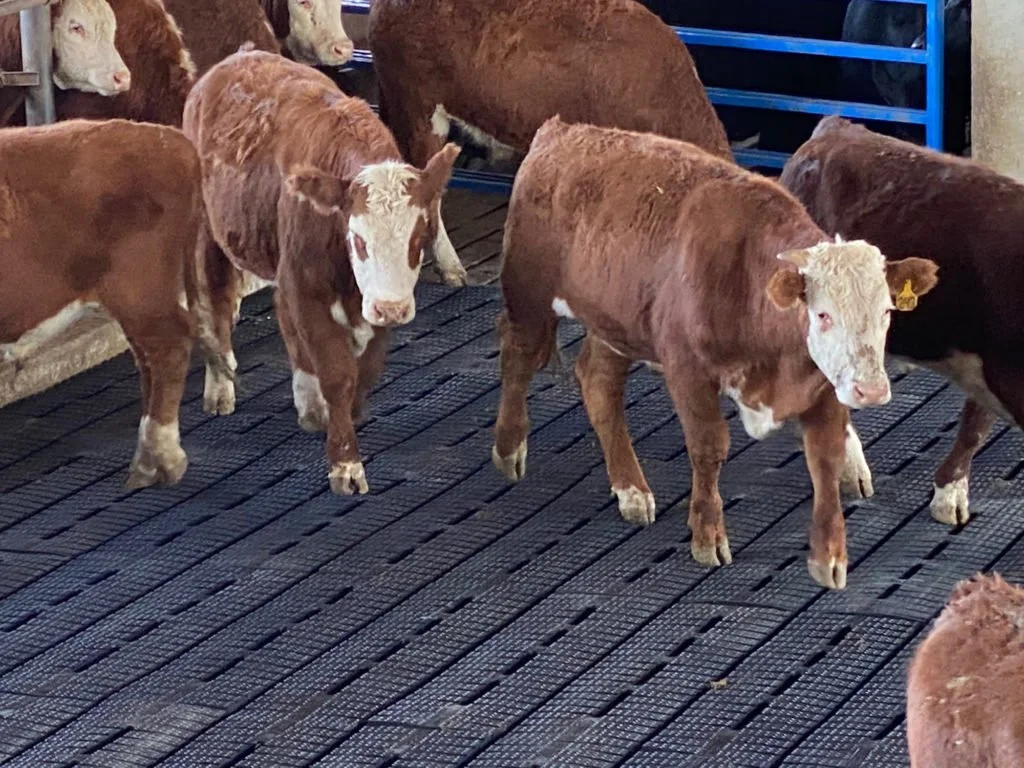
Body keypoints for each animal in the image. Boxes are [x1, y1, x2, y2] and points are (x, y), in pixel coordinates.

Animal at [183, 49, 459, 497]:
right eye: (358, 239)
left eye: (419, 238)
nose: (393, 308)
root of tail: (238, 57)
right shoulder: (307, 289)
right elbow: (337, 374)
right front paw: (346, 466)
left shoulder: (370, 301)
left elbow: (365, 370)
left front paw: (344, 410)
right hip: (211, 231)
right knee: (218, 297)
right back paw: (221, 386)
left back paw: (307, 403)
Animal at [492, 117, 939, 589]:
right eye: (822, 315)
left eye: (887, 311)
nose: (871, 390)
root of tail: (563, 131)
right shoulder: (688, 371)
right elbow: (708, 449)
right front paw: (708, 537)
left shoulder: (821, 387)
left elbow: (825, 459)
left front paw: (829, 556)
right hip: (529, 298)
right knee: (517, 355)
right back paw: (508, 448)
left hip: (615, 322)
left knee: (598, 382)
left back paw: (631, 490)